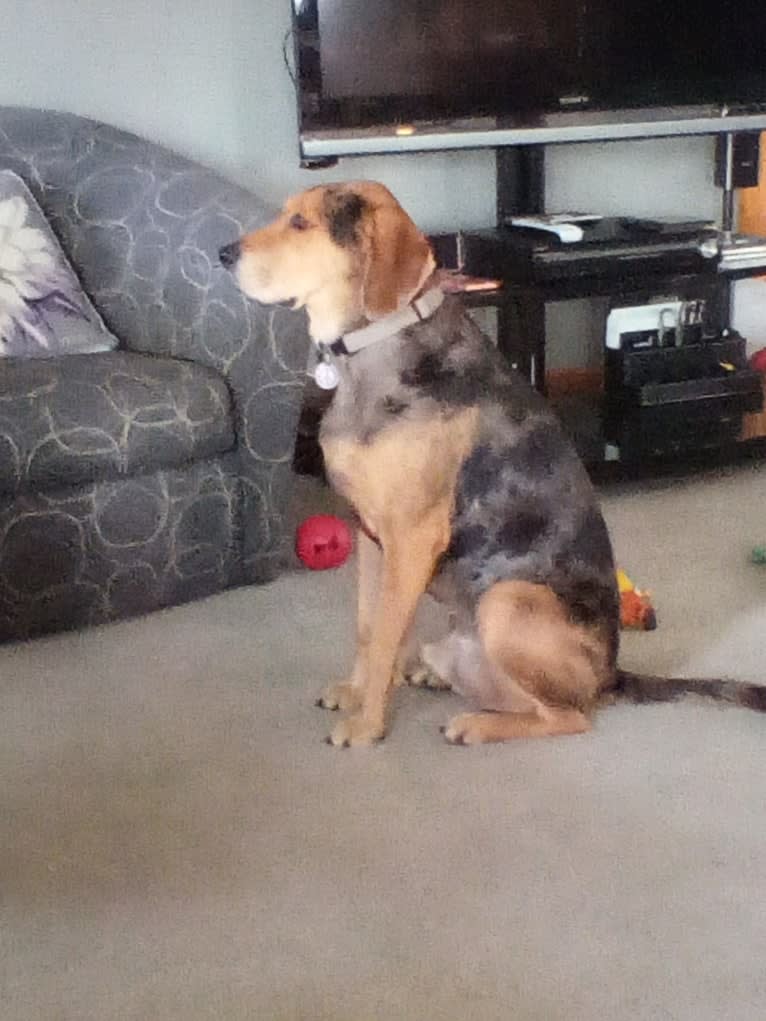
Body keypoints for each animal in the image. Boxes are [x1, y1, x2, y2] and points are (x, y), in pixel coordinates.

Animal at [220, 181, 766, 743]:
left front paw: (367, 726)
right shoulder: (369, 534)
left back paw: (478, 725)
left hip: (508, 603)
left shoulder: (411, 538)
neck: (375, 349)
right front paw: (357, 692)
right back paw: (433, 677)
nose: (223, 255)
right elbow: (369, 630)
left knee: (569, 716)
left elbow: (386, 636)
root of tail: (610, 675)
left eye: (301, 224)